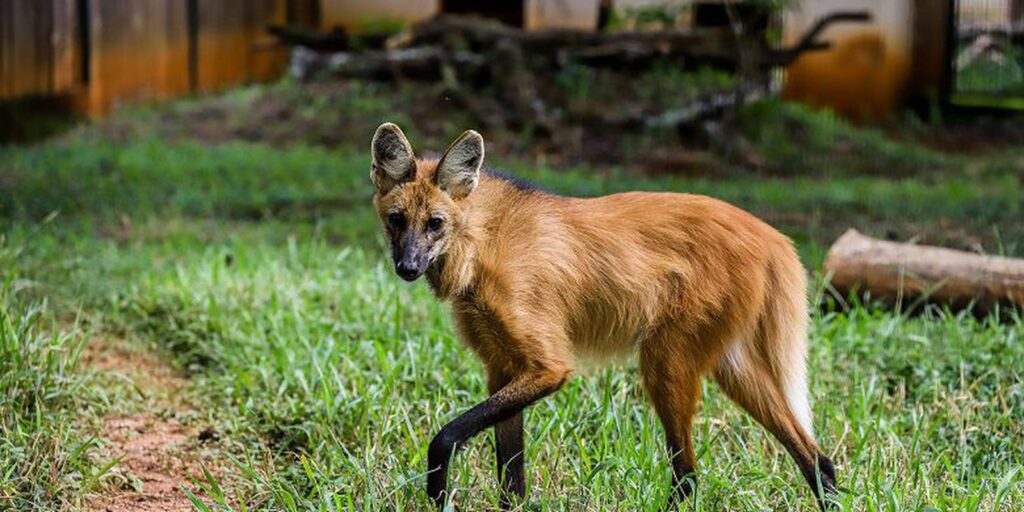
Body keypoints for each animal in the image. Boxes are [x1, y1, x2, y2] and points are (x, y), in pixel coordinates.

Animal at [372, 122, 835, 507]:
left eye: (434, 223)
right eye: (397, 220)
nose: (407, 267)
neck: (481, 244)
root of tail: (771, 236)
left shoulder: (548, 367)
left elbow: (446, 436)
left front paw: (437, 491)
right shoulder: (503, 366)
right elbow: (512, 475)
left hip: (664, 361)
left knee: (688, 474)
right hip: (730, 365)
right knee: (815, 457)